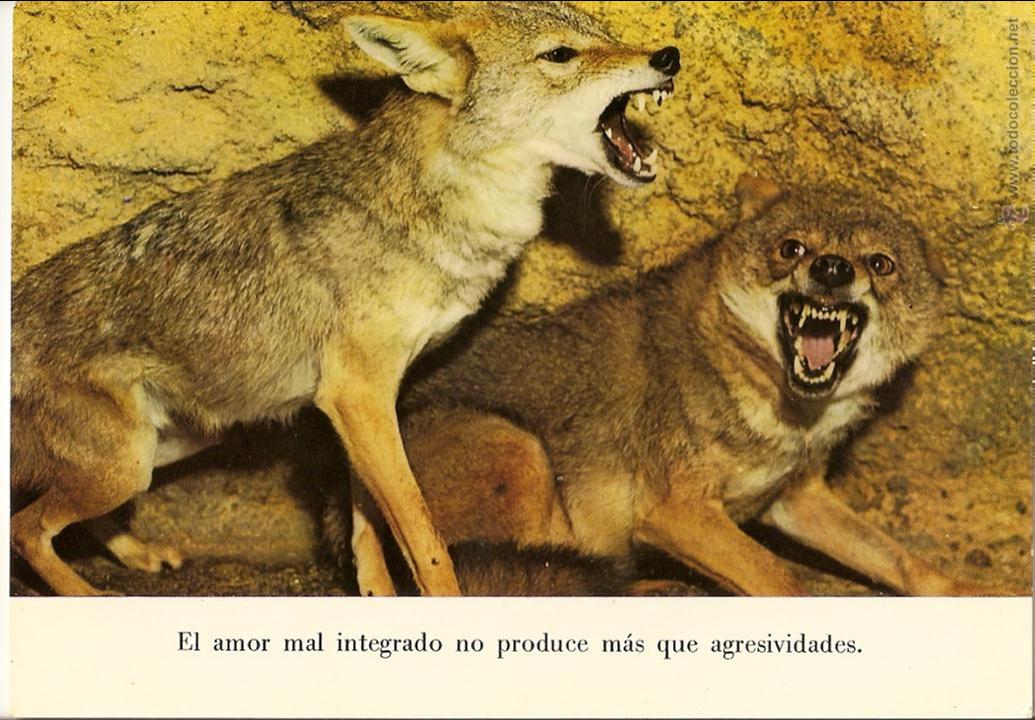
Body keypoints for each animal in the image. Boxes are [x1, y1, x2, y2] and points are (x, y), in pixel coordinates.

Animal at [11, 2, 681, 596]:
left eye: (606, 34)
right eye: (561, 54)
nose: (668, 56)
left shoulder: (362, 402)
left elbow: (369, 530)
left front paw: (376, 596)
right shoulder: (357, 394)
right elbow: (426, 542)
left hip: (163, 451)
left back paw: (143, 556)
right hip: (127, 463)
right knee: (26, 529)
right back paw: (90, 596)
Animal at [373, 175, 991, 595]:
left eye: (881, 264)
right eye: (792, 248)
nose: (834, 269)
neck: (783, 418)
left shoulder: (797, 498)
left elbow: (906, 562)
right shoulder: (675, 514)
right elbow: (782, 578)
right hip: (521, 455)